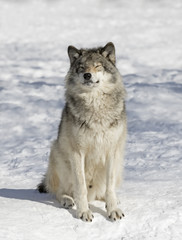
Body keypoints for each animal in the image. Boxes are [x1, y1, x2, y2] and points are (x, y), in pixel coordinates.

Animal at [37, 42, 127, 222]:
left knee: (104, 190)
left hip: (119, 161)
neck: (95, 106)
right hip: (57, 153)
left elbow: (110, 187)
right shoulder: (77, 153)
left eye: (98, 66)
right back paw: (67, 200)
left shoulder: (112, 151)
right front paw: (84, 212)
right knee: (59, 191)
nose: (87, 75)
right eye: (81, 67)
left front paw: (113, 209)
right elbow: (81, 187)